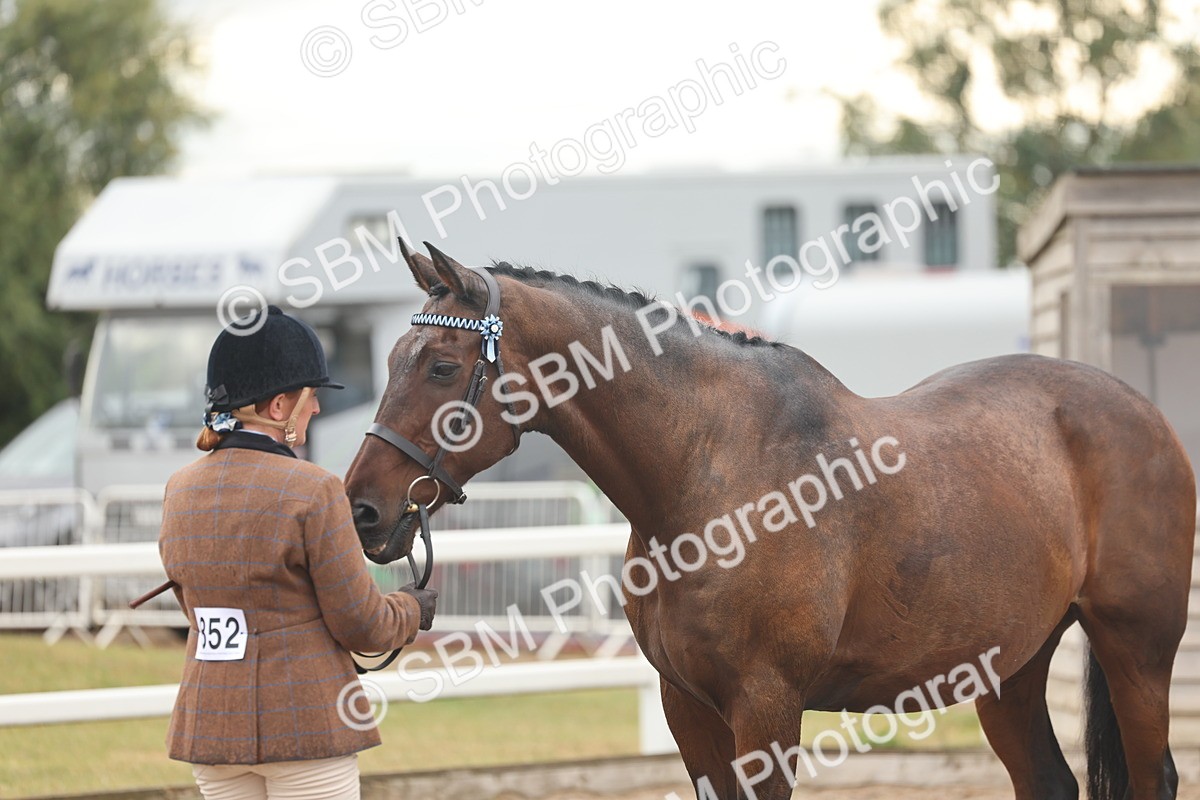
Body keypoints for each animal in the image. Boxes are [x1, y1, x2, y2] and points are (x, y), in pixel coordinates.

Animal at [344, 243, 1197, 800]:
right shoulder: (688, 708)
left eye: (442, 367)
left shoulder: (767, 706)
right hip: (1010, 665)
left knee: (1152, 774)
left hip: (1136, 648)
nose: (362, 509)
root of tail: (1141, 411)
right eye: (388, 362)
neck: (707, 474)